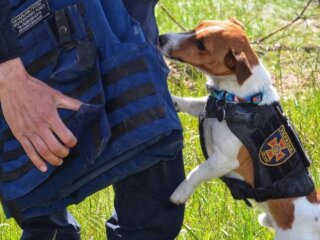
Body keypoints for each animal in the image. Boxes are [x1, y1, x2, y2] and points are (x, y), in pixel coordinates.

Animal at [158, 18, 320, 240]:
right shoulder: (208, 106)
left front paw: (181, 192)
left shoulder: (223, 160)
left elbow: (197, 171)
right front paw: (174, 101)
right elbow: (193, 103)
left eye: (201, 44)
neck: (234, 101)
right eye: (197, 26)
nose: (161, 38)